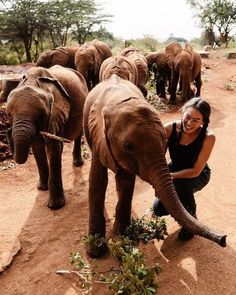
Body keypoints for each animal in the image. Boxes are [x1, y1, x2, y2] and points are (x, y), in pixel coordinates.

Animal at [7, 65, 89, 210]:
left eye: (41, 115)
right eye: (9, 114)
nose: (8, 130)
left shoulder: (57, 112)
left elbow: (53, 145)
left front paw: (55, 206)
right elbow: (37, 146)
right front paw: (41, 188)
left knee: (78, 133)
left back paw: (78, 163)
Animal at [83, 74, 227, 260]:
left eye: (165, 140)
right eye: (128, 146)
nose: (224, 239)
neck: (118, 101)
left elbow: (126, 182)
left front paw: (124, 240)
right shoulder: (98, 137)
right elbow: (97, 181)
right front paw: (96, 252)